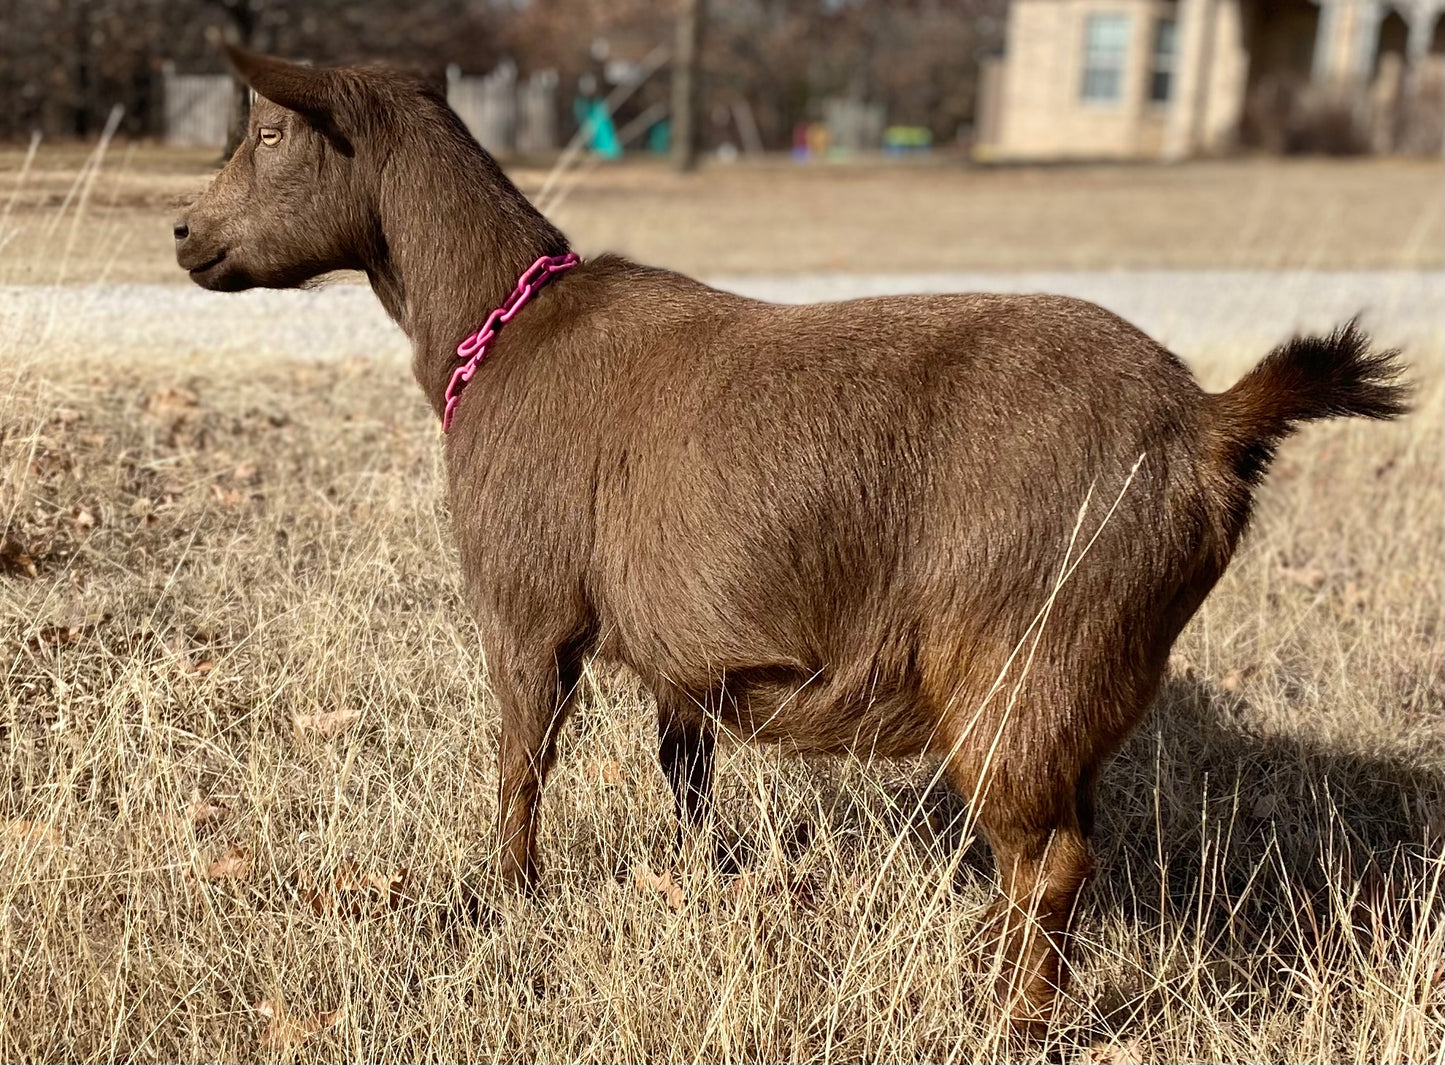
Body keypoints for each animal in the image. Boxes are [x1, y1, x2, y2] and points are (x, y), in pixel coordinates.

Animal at [174, 45, 1404, 1028]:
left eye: (272, 131)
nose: (183, 233)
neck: (506, 324)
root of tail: (1206, 425)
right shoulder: (682, 654)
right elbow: (684, 777)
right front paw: (698, 884)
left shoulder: (525, 607)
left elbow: (520, 764)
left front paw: (502, 901)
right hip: (1083, 679)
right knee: (1057, 848)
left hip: (1018, 655)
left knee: (1049, 858)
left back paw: (1009, 1018)